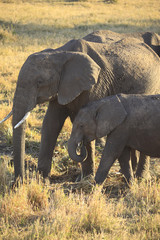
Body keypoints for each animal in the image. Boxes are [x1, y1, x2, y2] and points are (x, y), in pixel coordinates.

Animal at [1, 32, 160, 180]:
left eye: (39, 82)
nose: (19, 181)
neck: (60, 54)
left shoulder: (94, 84)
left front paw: (85, 178)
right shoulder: (62, 87)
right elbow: (51, 123)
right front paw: (42, 180)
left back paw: (141, 177)